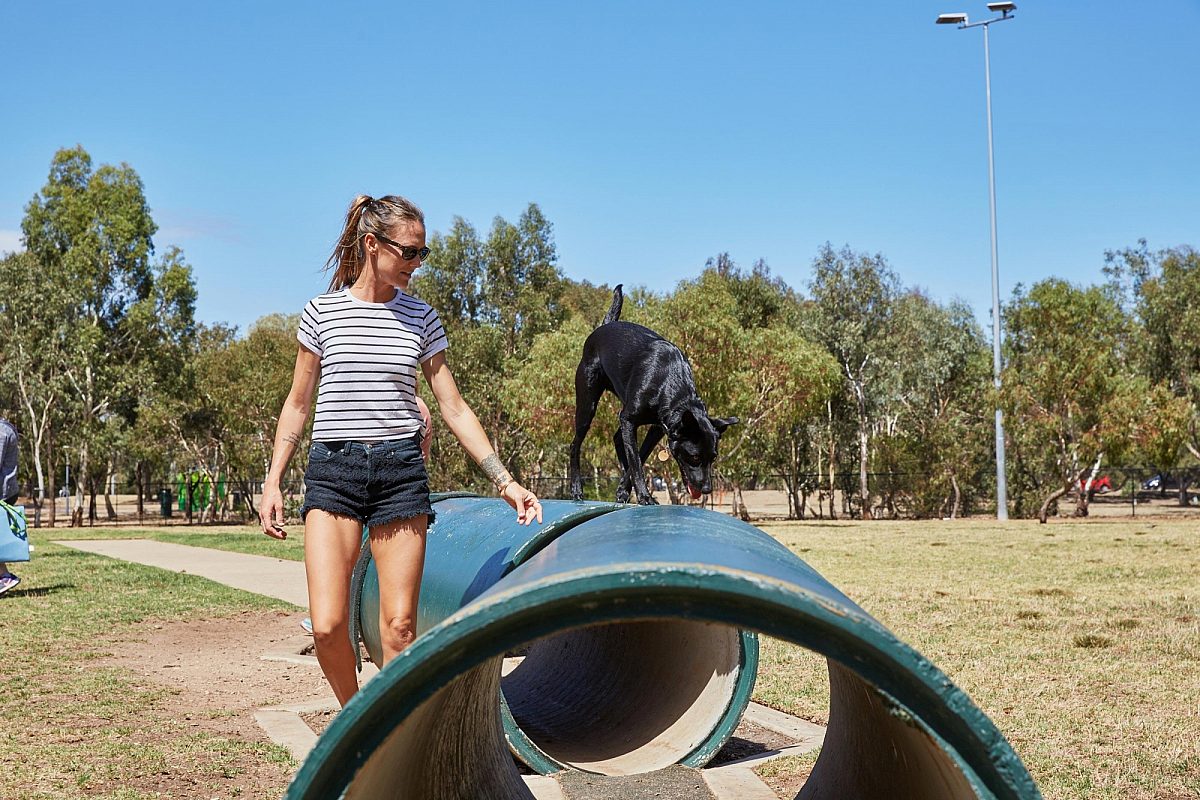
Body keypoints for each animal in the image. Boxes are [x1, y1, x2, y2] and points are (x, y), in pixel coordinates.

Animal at [566, 284, 734, 503]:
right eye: (695, 457)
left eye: (713, 457)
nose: (706, 490)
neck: (670, 385)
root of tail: (603, 327)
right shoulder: (629, 419)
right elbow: (636, 461)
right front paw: (644, 495)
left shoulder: (656, 428)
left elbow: (639, 455)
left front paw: (624, 489)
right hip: (587, 404)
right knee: (575, 445)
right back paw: (576, 489)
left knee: (618, 439)